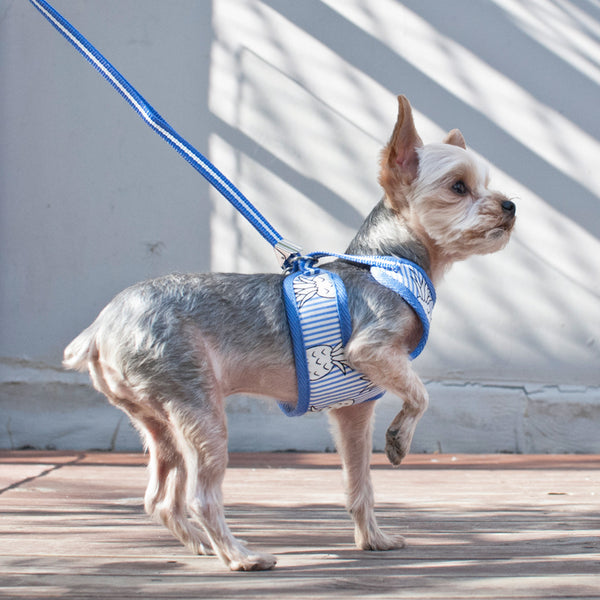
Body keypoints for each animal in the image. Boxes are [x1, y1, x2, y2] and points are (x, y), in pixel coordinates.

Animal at [64, 95, 516, 572]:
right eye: (458, 187)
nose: (510, 206)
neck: (385, 265)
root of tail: (100, 327)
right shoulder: (370, 350)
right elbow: (421, 395)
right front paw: (398, 440)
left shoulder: (354, 410)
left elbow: (360, 482)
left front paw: (372, 539)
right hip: (198, 408)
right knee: (201, 497)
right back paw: (240, 557)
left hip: (158, 421)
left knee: (161, 500)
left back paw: (203, 546)